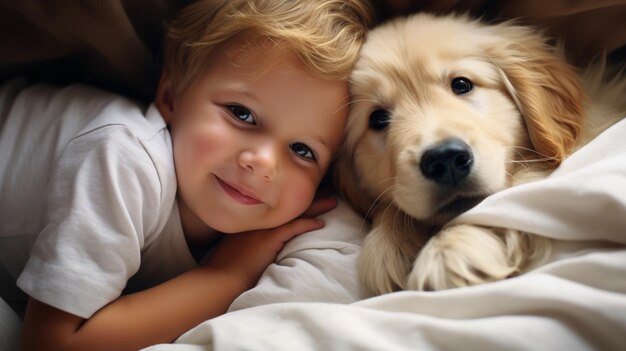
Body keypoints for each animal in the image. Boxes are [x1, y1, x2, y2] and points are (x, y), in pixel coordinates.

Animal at [336, 12, 624, 296]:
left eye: (462, 84)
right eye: (377, 119)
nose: (445, 160)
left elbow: (508, 197)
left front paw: (450, 248)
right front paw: (388, 243)